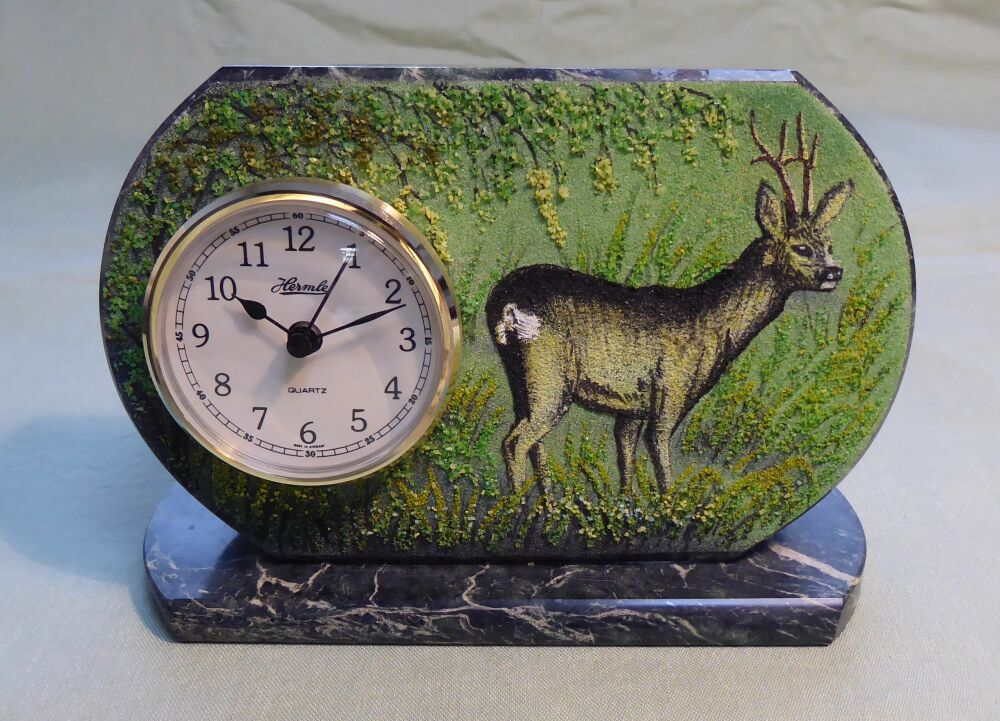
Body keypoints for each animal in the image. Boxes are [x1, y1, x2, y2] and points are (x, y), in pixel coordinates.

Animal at [485, 112, 855, 494]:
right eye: (801, 248)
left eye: (828, 244)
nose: (835, 271)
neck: (711, 320)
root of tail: (504, 301)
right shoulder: (672, 384)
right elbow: (660, 451)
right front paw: (669, 503)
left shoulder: (633, 405)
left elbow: (625, 457)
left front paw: (626, 502)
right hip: (550, 374)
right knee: (516, 441)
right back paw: (519, 504)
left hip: (520, 376)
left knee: (532, 441)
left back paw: (549, 502)